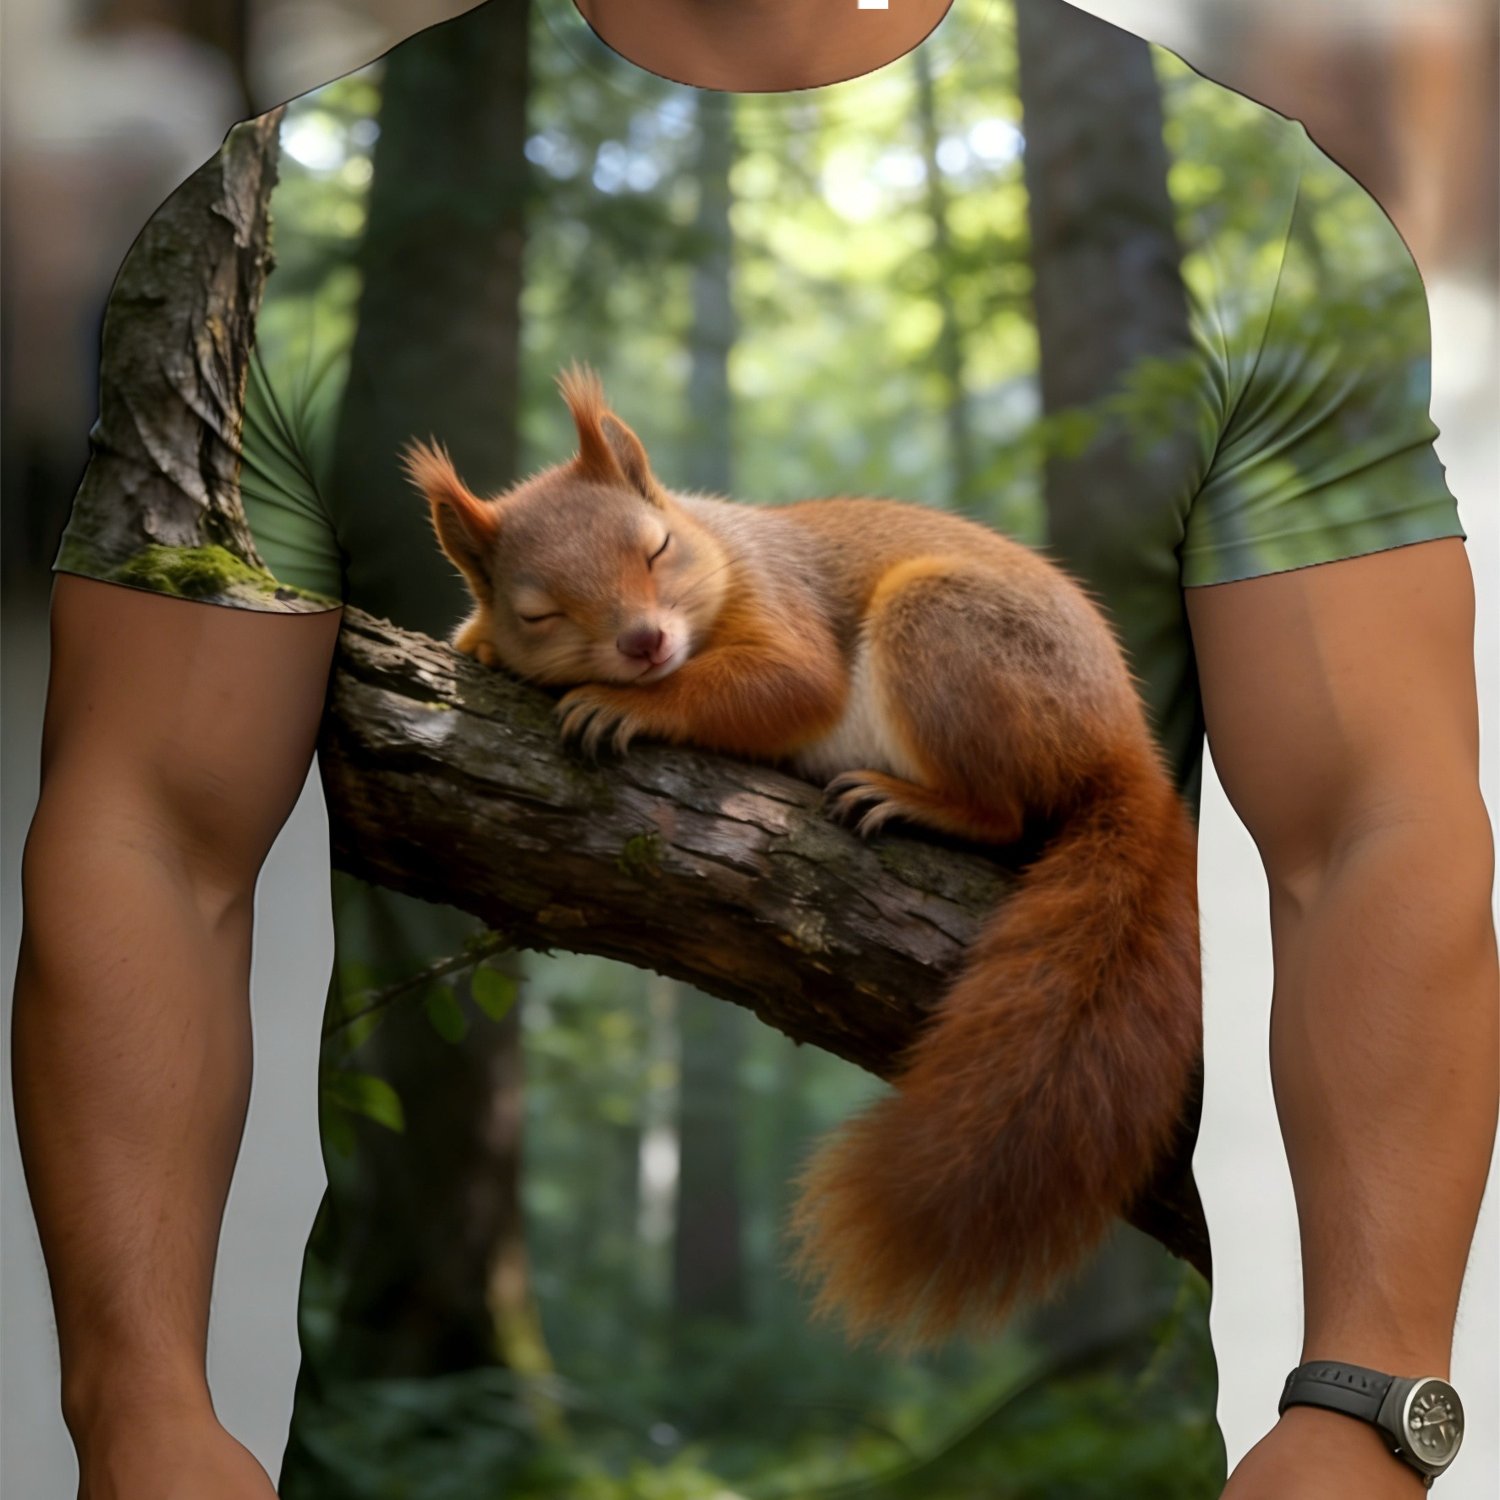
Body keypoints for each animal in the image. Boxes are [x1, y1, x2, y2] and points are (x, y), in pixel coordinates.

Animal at [400, 361, 1203, 1353]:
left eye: (658, 549)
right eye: (537, 612)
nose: (642, 643)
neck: (719, 548)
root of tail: (1123, 752)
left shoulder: (782, 612)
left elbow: (786, 685)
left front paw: (619, 702)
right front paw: (476, 642)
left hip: (947, 629)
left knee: (1005, 812)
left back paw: (915, 801)